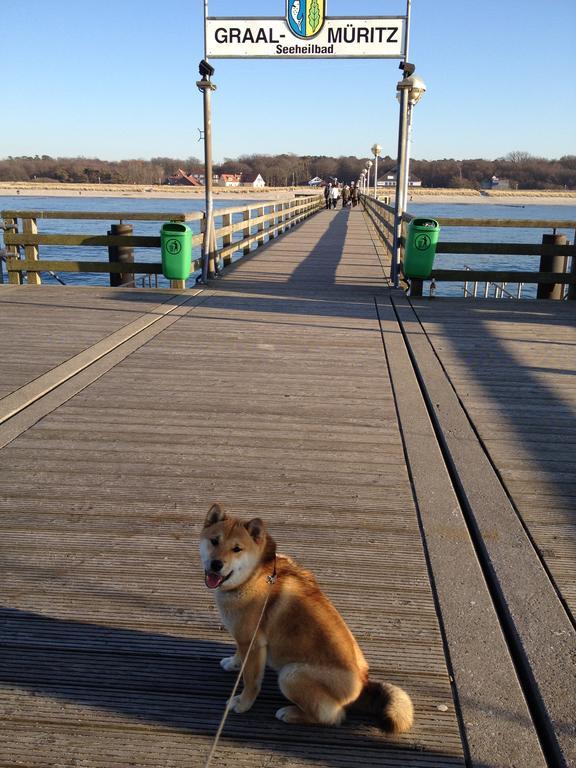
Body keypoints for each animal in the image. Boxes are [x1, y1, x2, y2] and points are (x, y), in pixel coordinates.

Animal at [200, 504, 412, 732]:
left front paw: (242, 703)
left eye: (237, 549)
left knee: (332, 717)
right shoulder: (244, 639)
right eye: (214, 541)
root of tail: (362, 685)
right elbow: (239, 655)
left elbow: (251, 681)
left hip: (290, 674)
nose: (216, 564)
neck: (253, 576)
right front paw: (233, 663)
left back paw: (290, 713)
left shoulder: (254, 644)